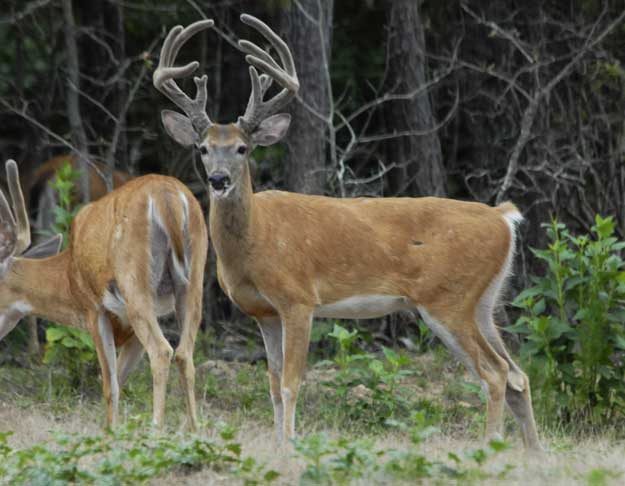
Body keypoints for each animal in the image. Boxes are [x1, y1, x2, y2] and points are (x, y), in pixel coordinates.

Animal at [155, 14, 540, 448]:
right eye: (203, 148)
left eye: (243, 148)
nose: (219, 179)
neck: (256, 242)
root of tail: (503, 218)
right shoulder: (263, 313)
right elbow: (271, 385)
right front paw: (278, 445)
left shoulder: (299, 299)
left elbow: (290, 383)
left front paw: (290, 445)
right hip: (483, 303)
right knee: (518, 375)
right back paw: (532, 452)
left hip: (449, 299)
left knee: (495, 373)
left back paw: (491, 445)